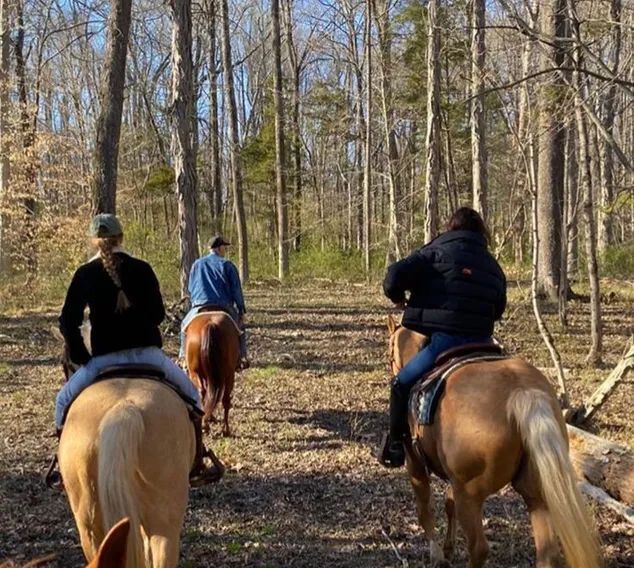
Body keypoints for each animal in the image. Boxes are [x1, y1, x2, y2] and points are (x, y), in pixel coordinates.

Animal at [386, 318, 596, 564]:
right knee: (547, 552)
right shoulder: (453, 478)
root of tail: (522, 392)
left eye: (389, 350)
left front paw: (437, 555)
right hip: (535, 493)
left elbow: (425, 511)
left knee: (479, 548)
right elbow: (448, 504)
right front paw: (448, 549)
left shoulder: (415, 463)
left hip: (470, 494)